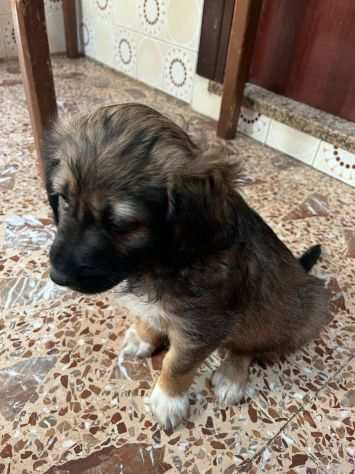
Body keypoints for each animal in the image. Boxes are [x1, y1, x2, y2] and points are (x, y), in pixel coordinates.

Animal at [44, 103, 330, 430]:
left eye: (120, 224)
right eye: (63, 198)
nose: (57, 276)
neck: (160, 261)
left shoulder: (202, 326)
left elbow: (176, 364)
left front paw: (168, 400)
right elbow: (150, 317)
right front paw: (144, 337)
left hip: (291, 316)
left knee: (250, 346)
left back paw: (232, 376)